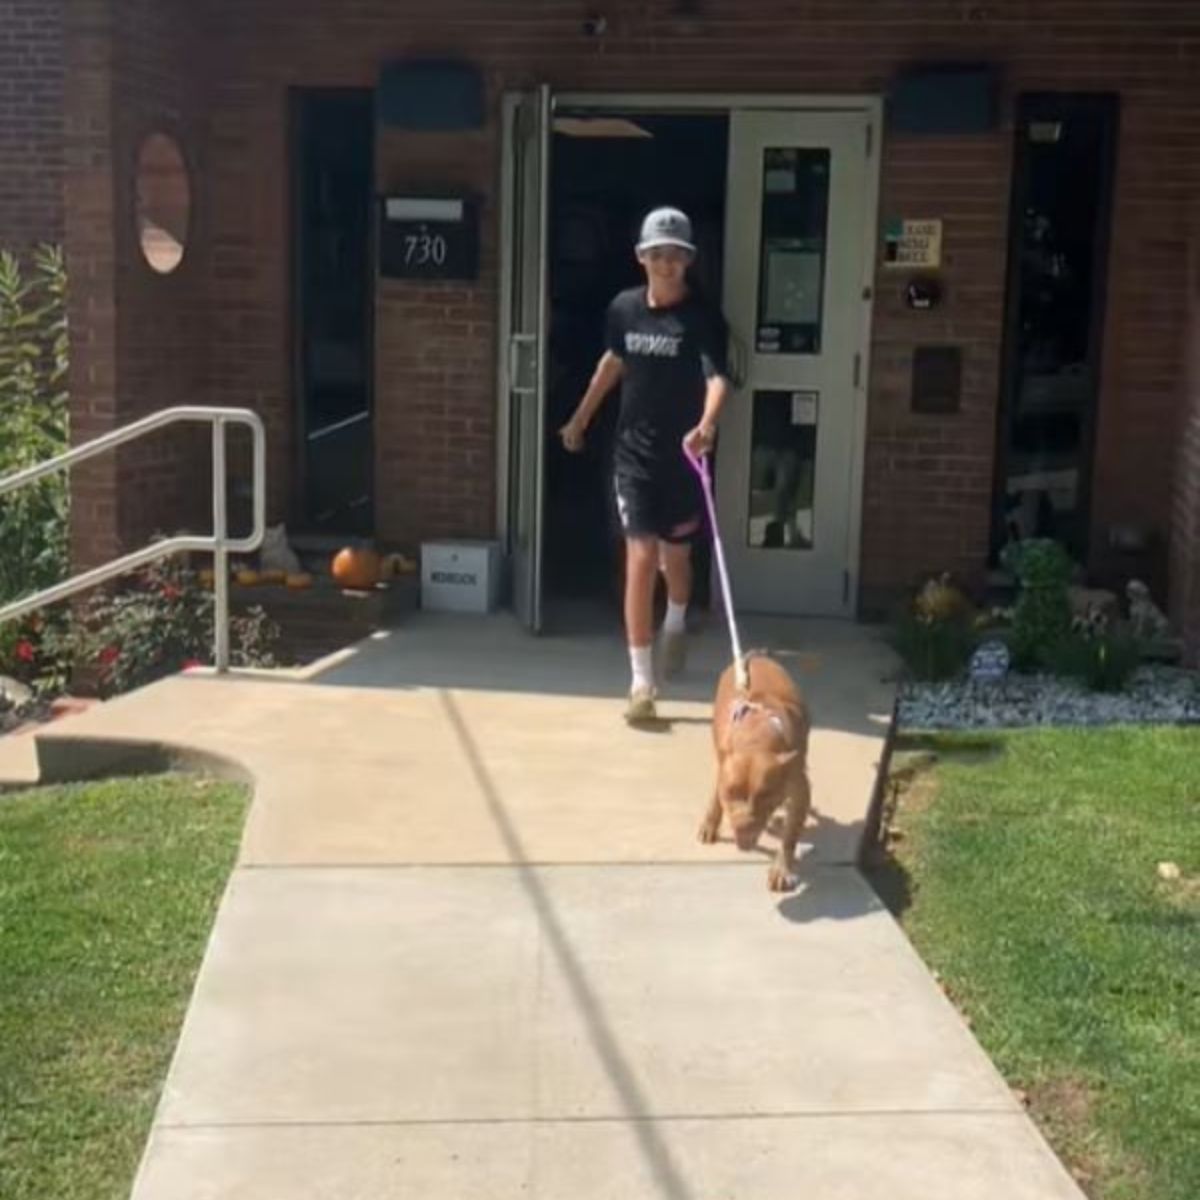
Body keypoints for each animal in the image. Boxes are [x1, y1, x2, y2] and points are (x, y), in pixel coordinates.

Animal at [700, 652, 811, 888]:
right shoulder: (724, 767)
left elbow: (790, 836)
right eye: (730, 793)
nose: (743, 830)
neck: (757, 736)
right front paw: (710, 821)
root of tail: (757, 655)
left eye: (765, 795)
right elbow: (716, 795)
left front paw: (781, 869)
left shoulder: (800, 790)